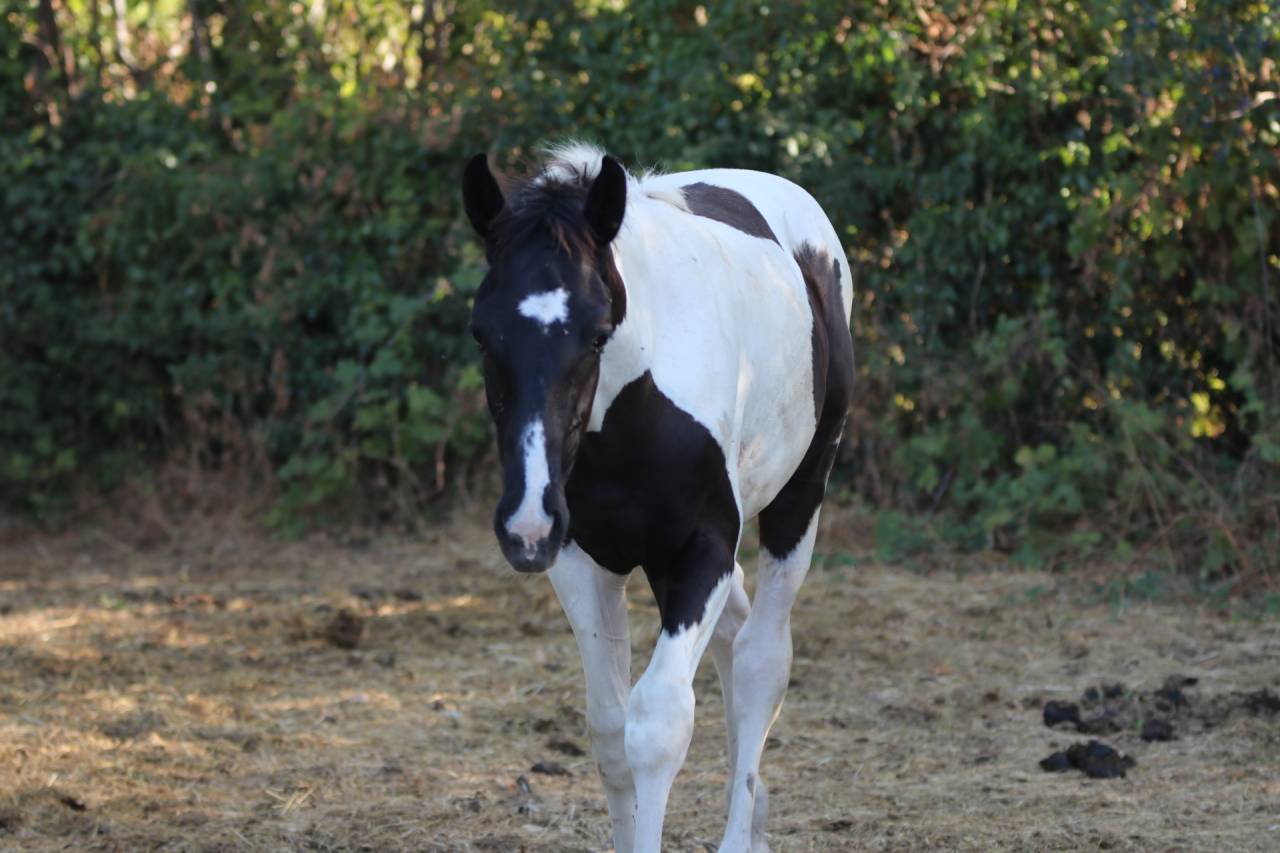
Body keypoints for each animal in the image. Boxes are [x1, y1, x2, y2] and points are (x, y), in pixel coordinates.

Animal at [461, 143, 853, 853]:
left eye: (596, 333)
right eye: (482, 333)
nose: (526, 526)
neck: (632, 410)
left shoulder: (701, 551)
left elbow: (658, 724)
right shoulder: (578, 560)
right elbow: (609, 730)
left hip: (801, 494)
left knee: (760, 660)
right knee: (734, 630)